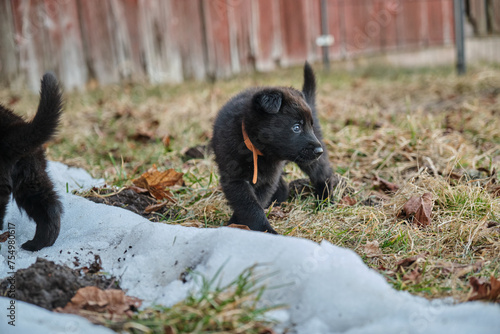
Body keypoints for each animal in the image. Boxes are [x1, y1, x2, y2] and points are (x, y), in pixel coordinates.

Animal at [212, 64, 336, 234]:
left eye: (309, 126)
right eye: (296, 127)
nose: (319, 151)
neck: (254, 147)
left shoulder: (267, 180)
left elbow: (254, 205)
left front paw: (256, 230)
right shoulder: (235, 179)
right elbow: (249, 205)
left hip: (311, 161)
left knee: (323, 175)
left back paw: (325, 201)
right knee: (284, 187)